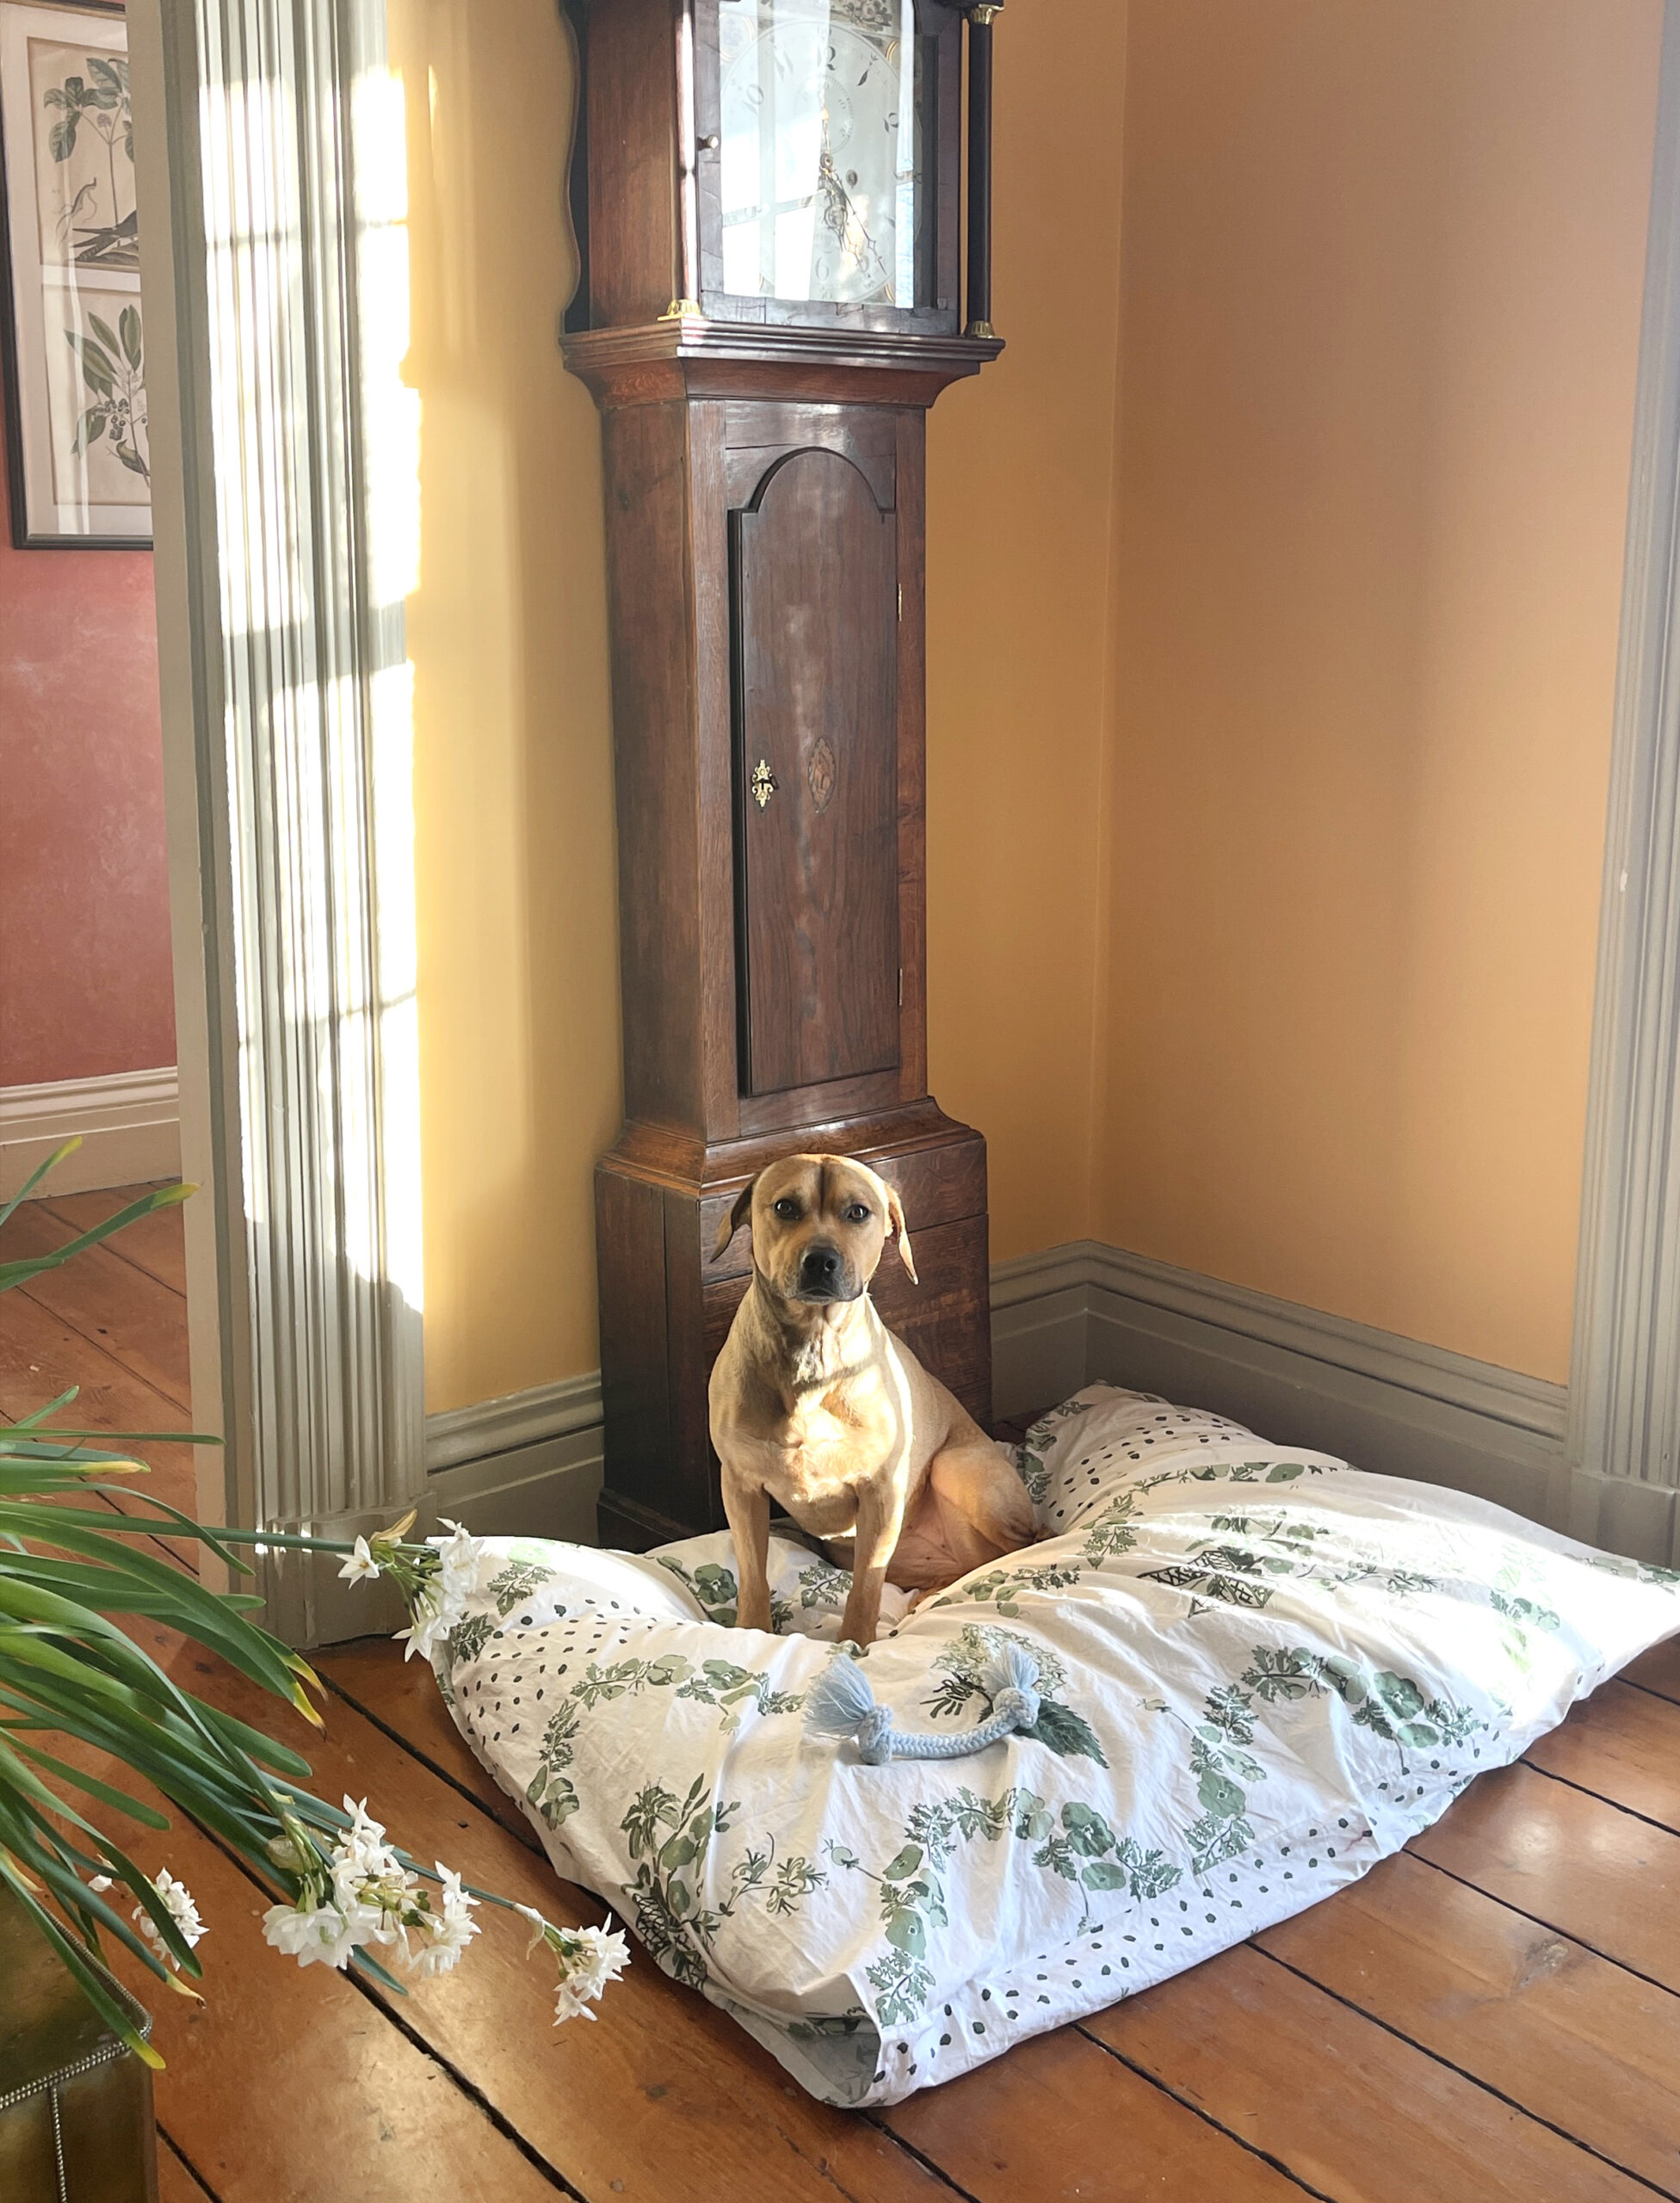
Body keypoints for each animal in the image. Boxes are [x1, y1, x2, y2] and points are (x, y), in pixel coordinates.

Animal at [701, 1145, 1027, 1647]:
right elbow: (753, 1576)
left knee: (1028, 1543)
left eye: (857, 1212)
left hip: (957, 1471)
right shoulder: (741, 1486)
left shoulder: (880, 1492)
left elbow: (867, 1587)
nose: (821, 1260)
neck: (812, 1353)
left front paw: (855, 1643)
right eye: (785, 1207)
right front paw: (751, 1632)